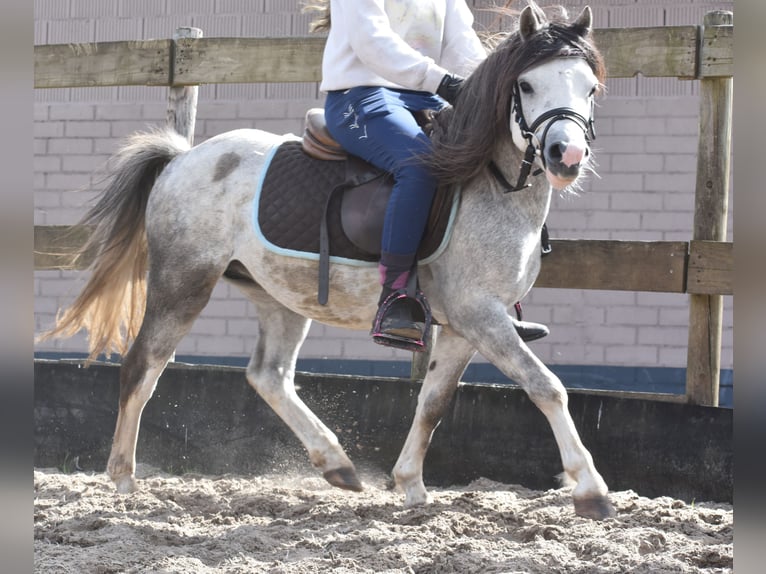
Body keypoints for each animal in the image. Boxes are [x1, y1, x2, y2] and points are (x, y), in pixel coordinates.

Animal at [38, 3, 616, 520]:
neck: (486, 183)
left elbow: (433, 403)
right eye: (527, 86)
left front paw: (411, 486)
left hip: (279, 297)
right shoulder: (481, 315)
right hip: (183, 282)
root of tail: (182, 157)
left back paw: (337, 465)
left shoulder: (463, 326)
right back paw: (123, 480)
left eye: (589, 87)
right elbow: (547, 387)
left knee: (268, 375)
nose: (566, 155)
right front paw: (591, 489)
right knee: (144, 365)